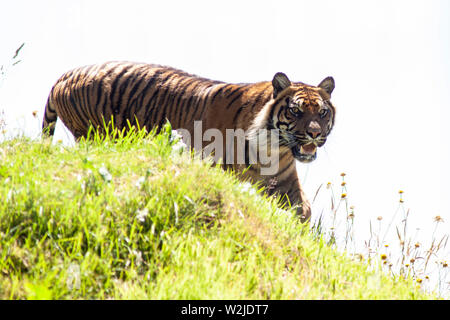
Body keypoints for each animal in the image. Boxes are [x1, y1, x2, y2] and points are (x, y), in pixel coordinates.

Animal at [43, 62, 334, 222]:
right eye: (295, 111)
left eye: (322, 112)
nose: (314, 134)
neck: (274, 149)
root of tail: (64, 75)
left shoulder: (286, 181)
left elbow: (304, 210)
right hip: (94, 135)